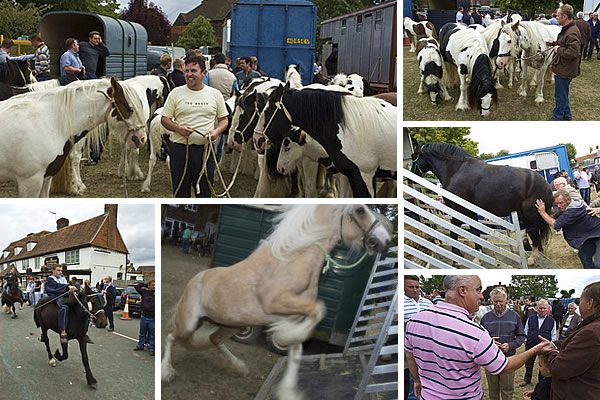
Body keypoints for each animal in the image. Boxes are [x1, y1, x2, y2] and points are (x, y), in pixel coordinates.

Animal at [162, 205, 392, 398]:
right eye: (360, 210)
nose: (385, 241)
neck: (292, 260)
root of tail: (196, 279)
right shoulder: (275, 303)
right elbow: (319, 309)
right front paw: (283, 334)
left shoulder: (298, 315)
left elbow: (297, 352)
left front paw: (288, 391)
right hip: (190, 323)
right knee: (172, 335)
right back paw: (167, 372)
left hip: (231, 324)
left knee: (214, 339)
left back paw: (238, 366)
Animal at [408, 142, 552, 268]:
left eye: (414, 156)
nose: (409, 179)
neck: (456, 170)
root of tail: (544, 184)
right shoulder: (471, 212)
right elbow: (475, 232)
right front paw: (478, 258)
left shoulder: (458, 210)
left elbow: (454, 233)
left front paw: (457, 260)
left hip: (530, 216)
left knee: (533, 233)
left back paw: (533, 258)